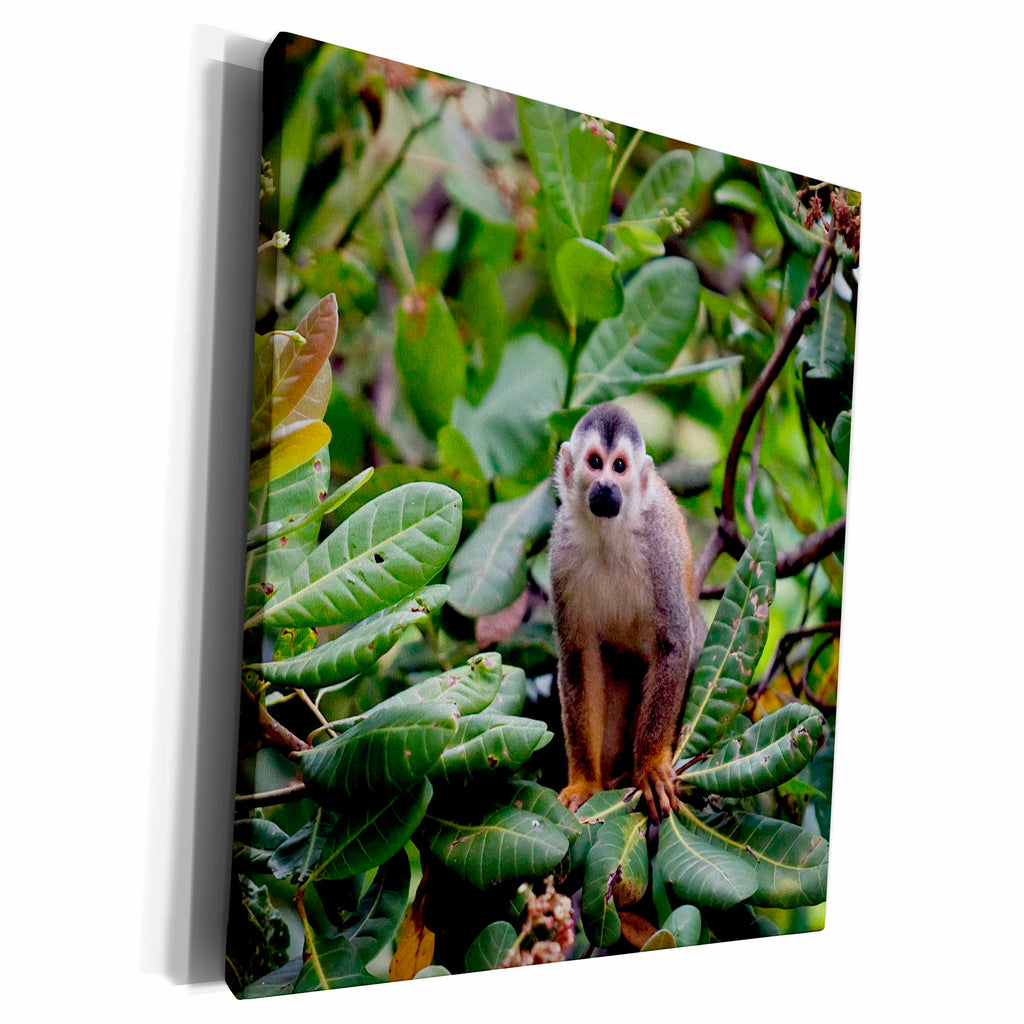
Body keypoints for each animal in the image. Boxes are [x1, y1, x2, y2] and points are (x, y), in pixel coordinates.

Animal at [549, 403, 706, 821]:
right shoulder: (561, 552)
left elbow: (674, 643)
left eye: (619, 466)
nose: (606, 485)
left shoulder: (658, 545)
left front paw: (650, 767)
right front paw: (585, 783)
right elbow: (578, 659)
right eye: (595, 462)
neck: (609, 534)